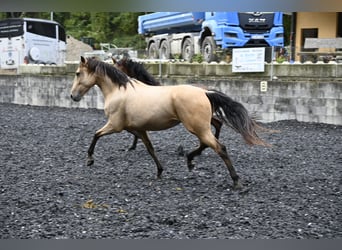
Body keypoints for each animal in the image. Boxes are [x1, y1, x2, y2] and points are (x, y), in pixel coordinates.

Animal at [71, 56, 270, 189]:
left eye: (78, 73)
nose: (73, 96)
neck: (119, 91)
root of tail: (205, 92)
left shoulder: (116, 125)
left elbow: (96, 134)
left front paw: (90, 159)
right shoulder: (139, 129)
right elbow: (150, 148)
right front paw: (159, 171)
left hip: (196, 127)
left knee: (219, 147)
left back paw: (235, 180)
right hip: (199, 127)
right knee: (208, 142)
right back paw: (190, 159)